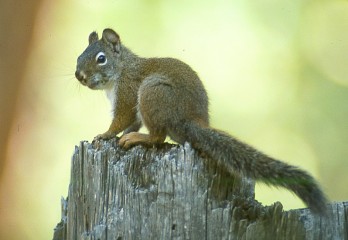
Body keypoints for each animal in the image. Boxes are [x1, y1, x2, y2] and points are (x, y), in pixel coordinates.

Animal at [75, 28, 328, 216]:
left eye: (101, 59)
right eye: (79, 56)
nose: (79, 76)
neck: (120, 71)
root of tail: (191, 121)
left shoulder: (128, 94)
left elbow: (121, 121)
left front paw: (106, 134)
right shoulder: (131, 108)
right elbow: (131, 123)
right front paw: (115, 134)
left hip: (152, 93)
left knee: (158, 136)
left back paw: (139, 138)